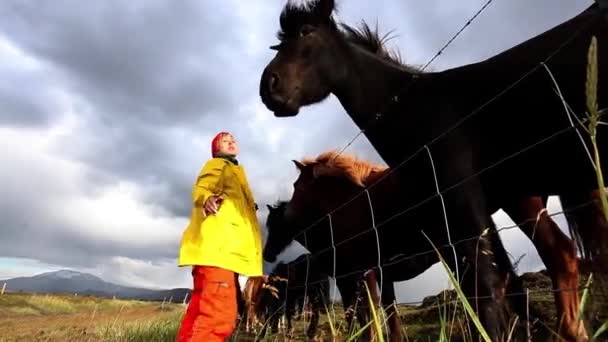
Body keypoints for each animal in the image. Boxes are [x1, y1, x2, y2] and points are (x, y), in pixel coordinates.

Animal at [258, 0, 608, 340]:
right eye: (279, 45)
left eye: (307, 32)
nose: (268, 86)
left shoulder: (454, 210)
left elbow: (482, 289)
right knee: (559, 257)